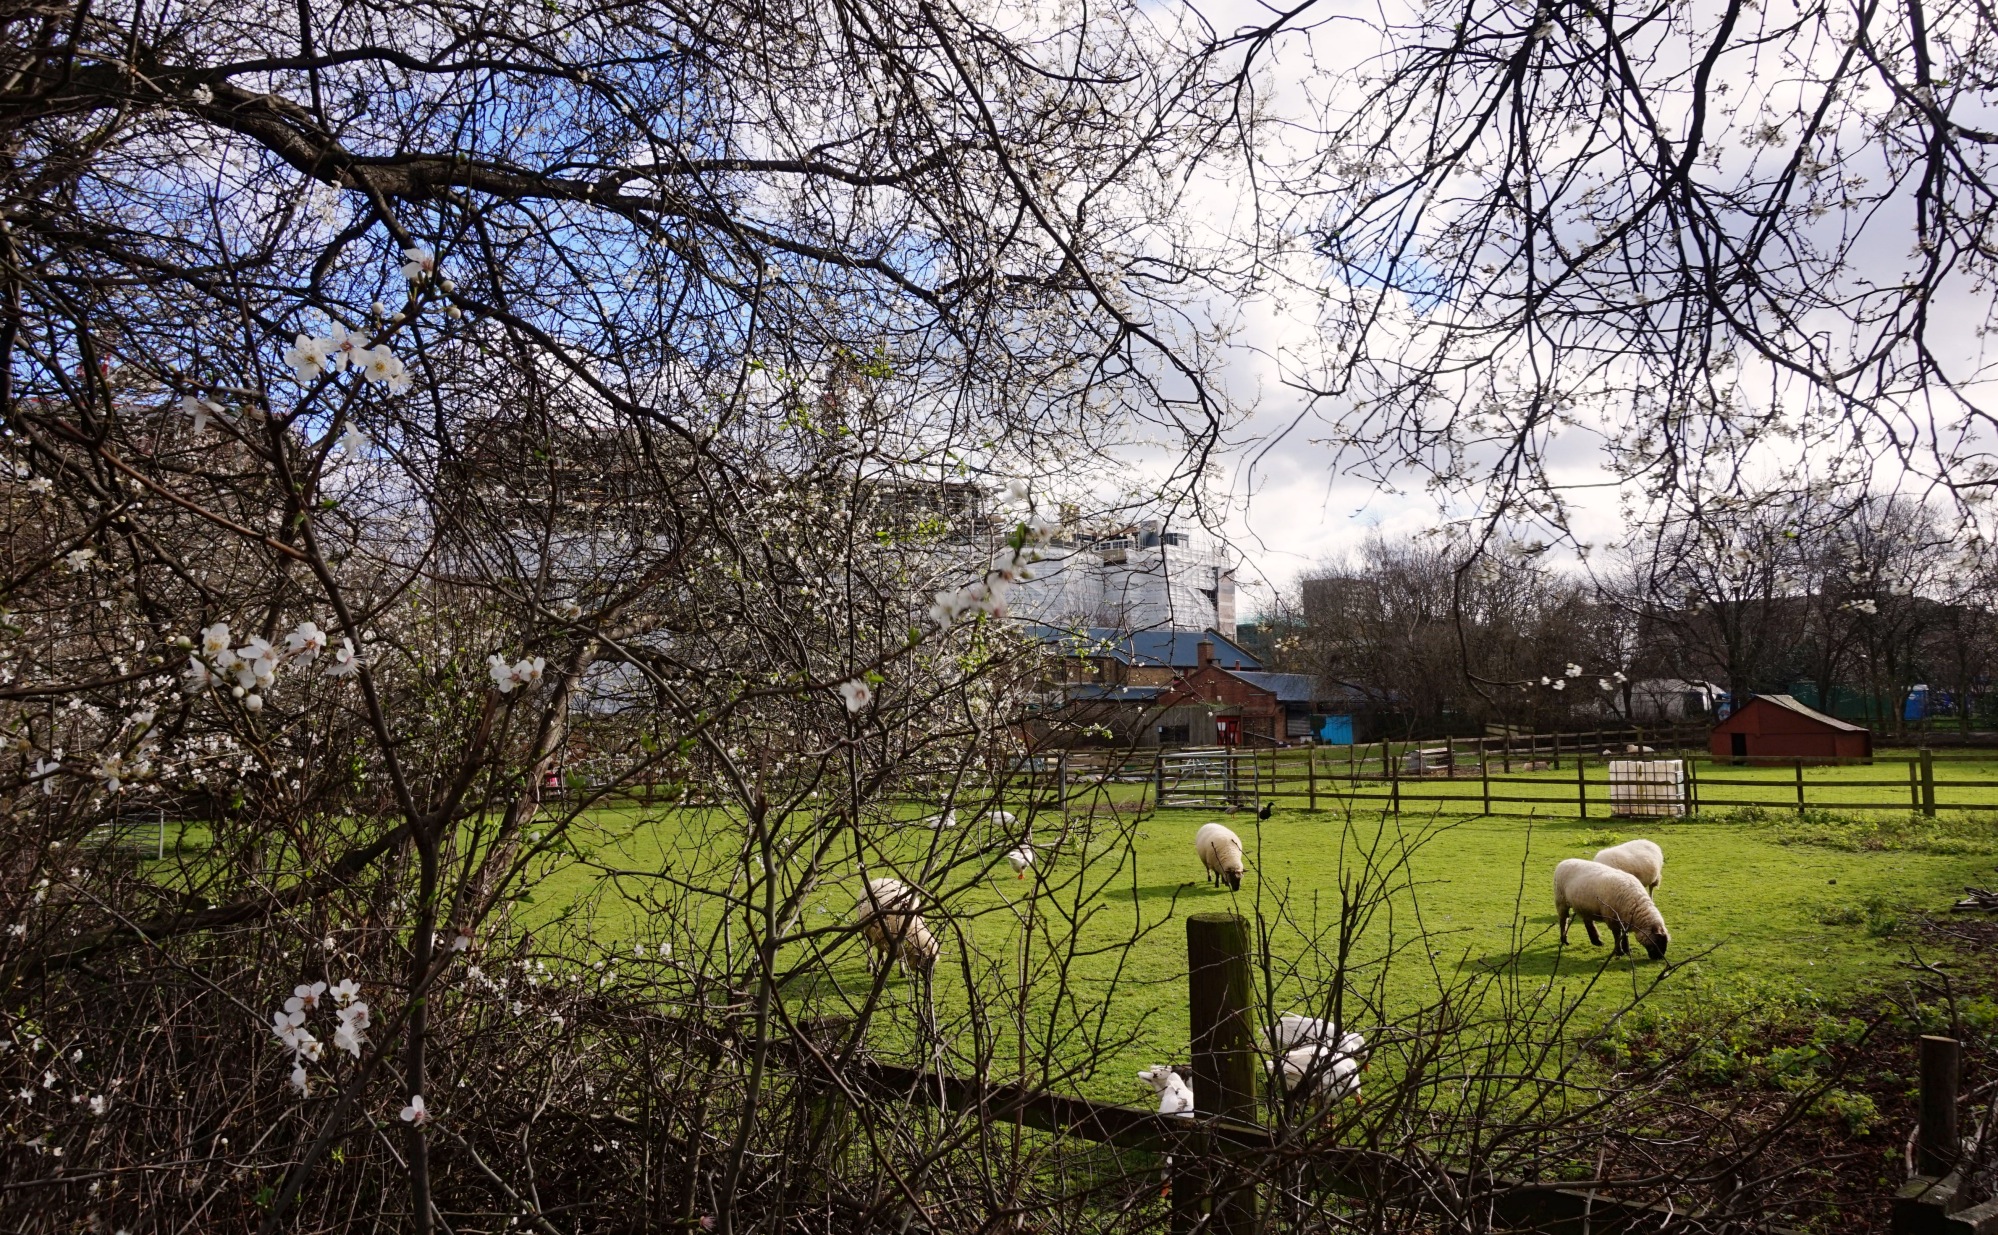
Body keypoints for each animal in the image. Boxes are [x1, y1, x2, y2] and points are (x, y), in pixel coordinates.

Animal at [1542, 855, 1670, 963]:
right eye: (1657, 941)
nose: (1659, 958)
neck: (1635, 905)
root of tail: (1564, 862)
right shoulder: (1613, 919)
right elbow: (1617, 935)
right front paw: (1620, 952)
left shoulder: (1624, 919)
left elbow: (1625, 935)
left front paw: (1627, 949)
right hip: (1561, 900)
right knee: (1563, 920)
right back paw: (1564, 940)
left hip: (1584, 905)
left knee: (1588, 922)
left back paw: (1596, 941)